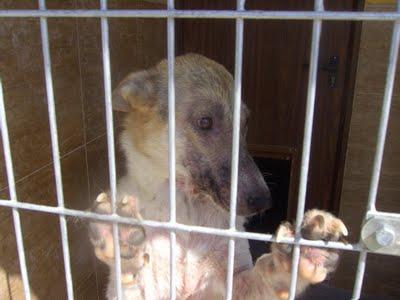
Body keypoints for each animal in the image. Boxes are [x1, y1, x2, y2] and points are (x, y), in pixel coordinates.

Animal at [88, 52, 346, 298]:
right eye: (204, 121)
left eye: (245, 122)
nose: (264, 201)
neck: (188, 209)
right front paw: (120, 235)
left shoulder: (235, 282)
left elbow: (264, 278)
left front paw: (301, 256)